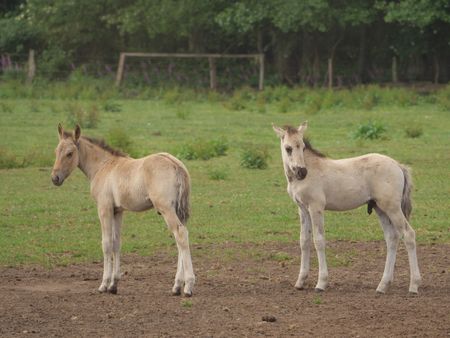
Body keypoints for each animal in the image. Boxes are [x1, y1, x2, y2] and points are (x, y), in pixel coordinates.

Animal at [51, 124, 195, 296]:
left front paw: (104, 284)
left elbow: (106, 244)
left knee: (180, 234)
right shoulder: (118, 211)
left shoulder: (104, 208)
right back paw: (177, 286)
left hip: (166, 209)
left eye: (69, 153)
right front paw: (114, 285)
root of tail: (176, 165)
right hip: (178, 211)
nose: (55, 178)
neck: (103, 166)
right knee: (181, 239)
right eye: (56, 151)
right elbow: (116, 243)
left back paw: (188, 286)